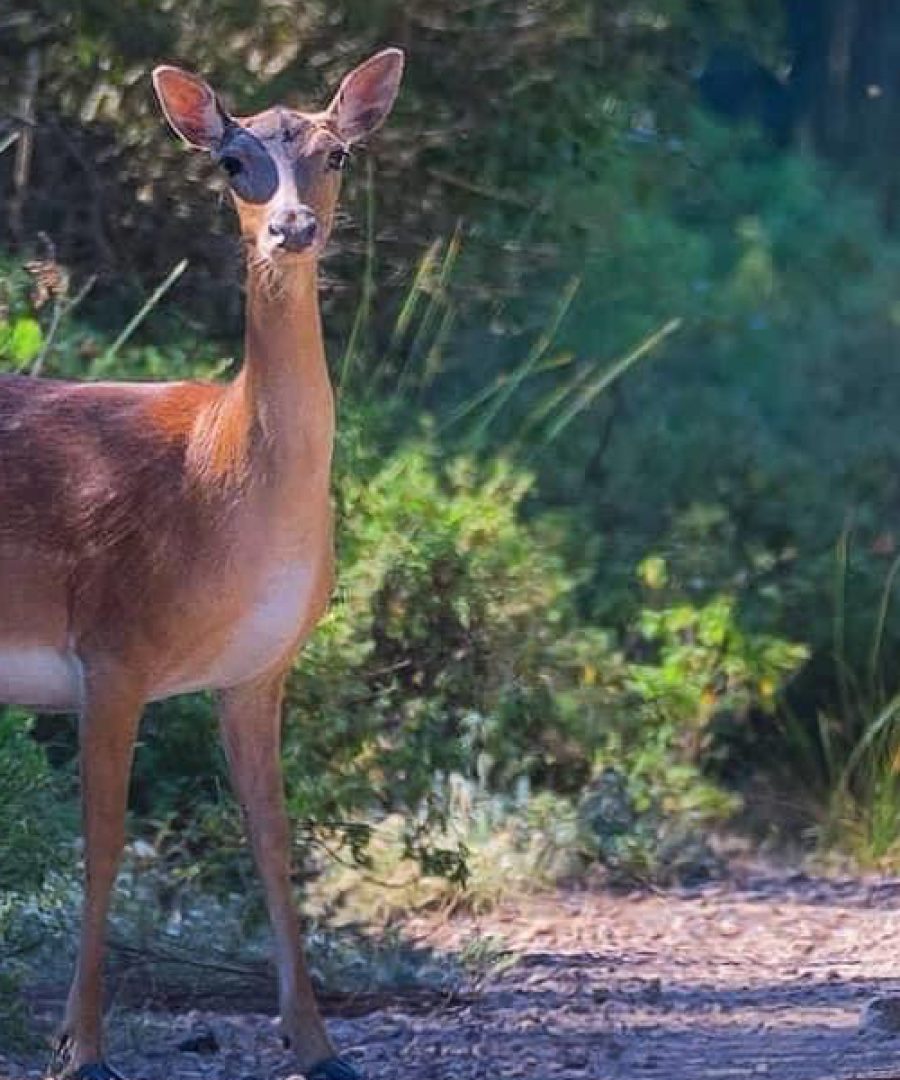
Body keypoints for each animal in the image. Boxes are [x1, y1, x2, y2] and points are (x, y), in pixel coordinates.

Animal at [0, 46, 404, 1080]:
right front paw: (82, 1047)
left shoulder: (258, 669)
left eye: (338, 153)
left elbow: (275, 842)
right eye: (232, 161)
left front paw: (319, 1046)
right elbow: (102, 846)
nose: (293, 227)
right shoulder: (111, 646)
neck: (219, 473)